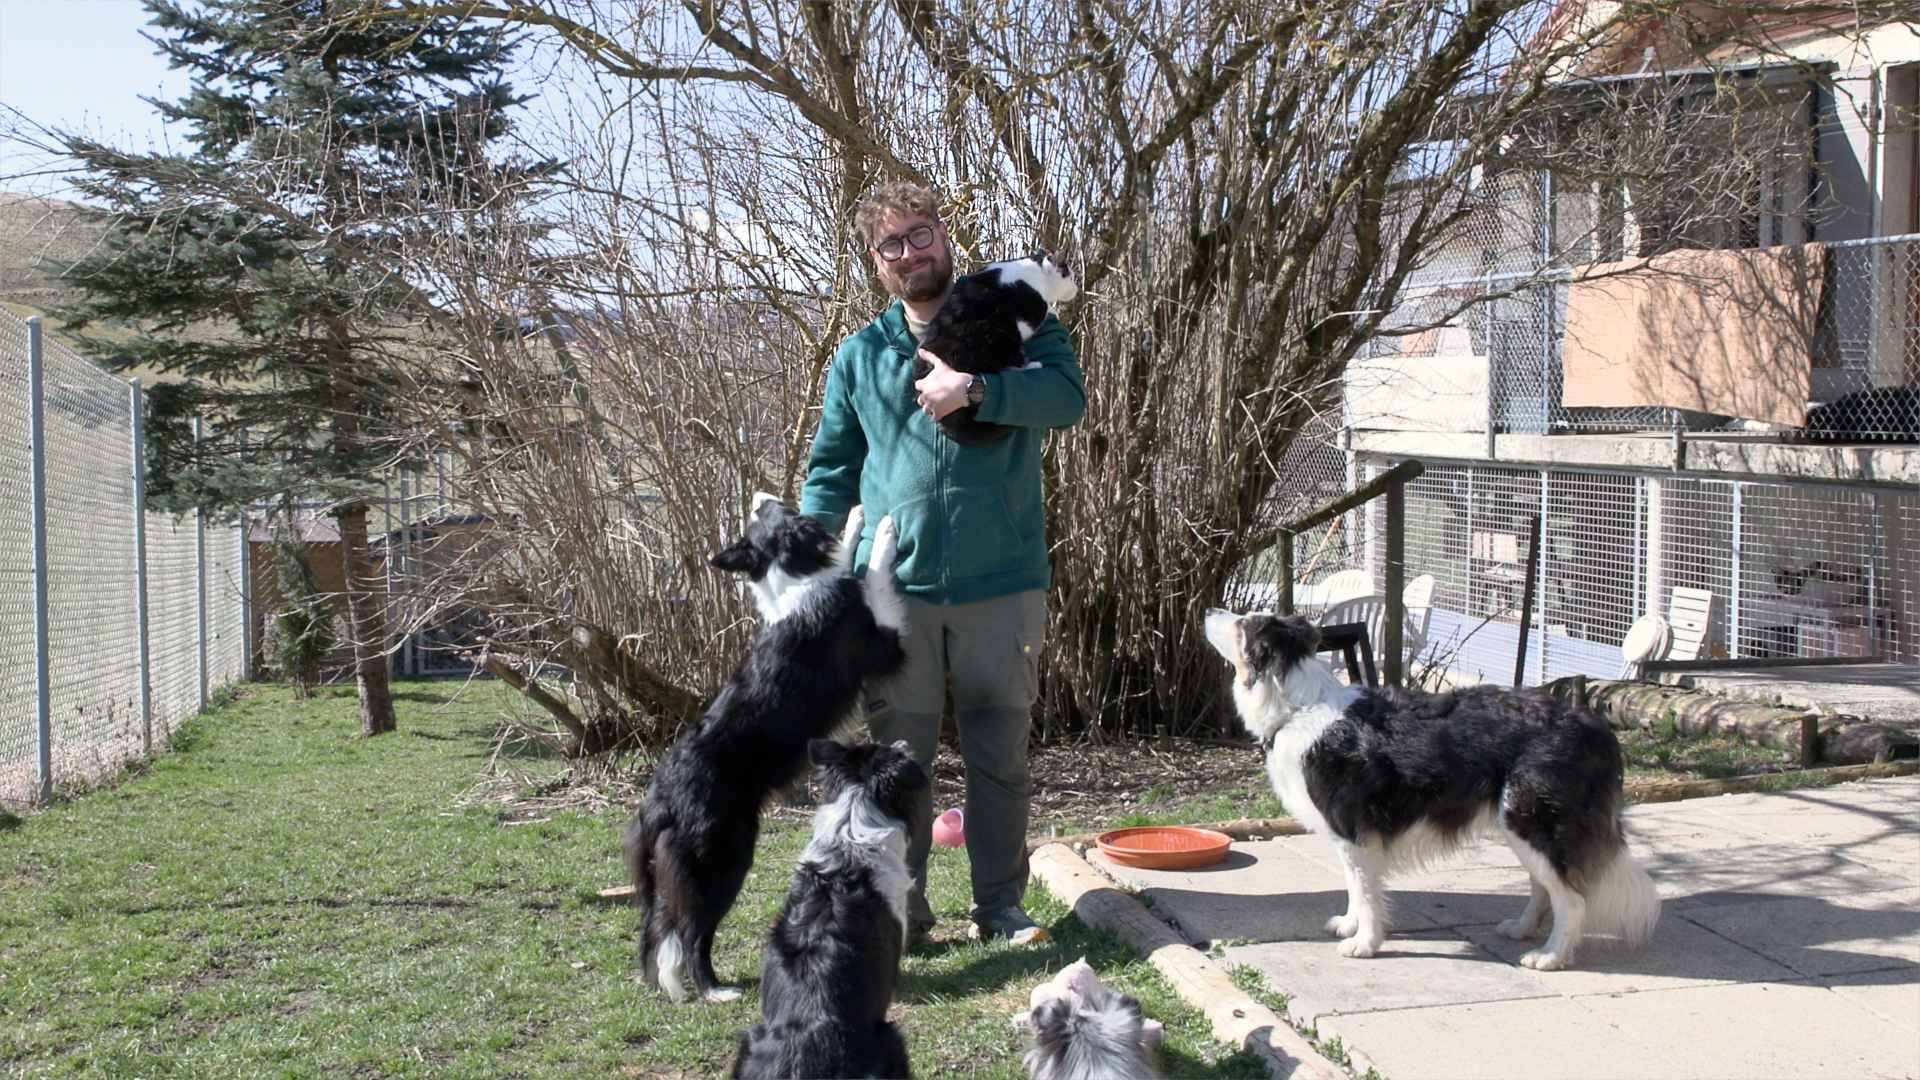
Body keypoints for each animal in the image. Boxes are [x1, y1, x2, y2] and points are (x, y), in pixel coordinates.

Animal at [622, 495, 908, 1002]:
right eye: (767, 514)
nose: (758, 497)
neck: (791, 573)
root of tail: (658, 800)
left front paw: (855, 520)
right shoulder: (881, 643)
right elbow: (874, 574)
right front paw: (885, 531)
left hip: (663, 875)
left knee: (655, 929)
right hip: (722, 860)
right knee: (692, 932)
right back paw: (714, 990)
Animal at [913, 253, 1078, 446]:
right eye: (1071, 277)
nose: (1076, 289)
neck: (1037, 271)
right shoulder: (1030, 312)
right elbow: (1043, 312)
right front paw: (1053, 311)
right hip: (994, 335)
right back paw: (1032, 365)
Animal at [1203, 609, 1660, 970]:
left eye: (1241, 623)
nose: (1208, 610)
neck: (1300, 708)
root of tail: (1594, 725)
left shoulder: (1355, 831)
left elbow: (1366, 891)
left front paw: (1365, 944)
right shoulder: (1347, 836)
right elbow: (1354, 887)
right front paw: (1349, 926)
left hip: (1534, 820)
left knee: (1573, 898)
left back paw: (1550, 956)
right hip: (1521, 826)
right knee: (1543, 886)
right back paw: (1523, 929)